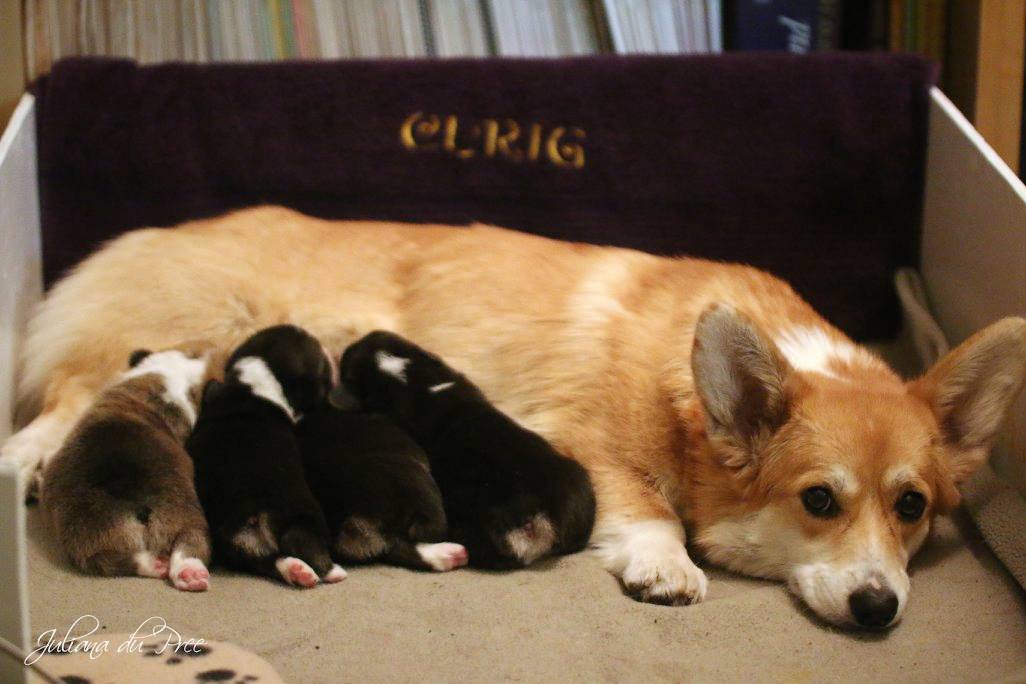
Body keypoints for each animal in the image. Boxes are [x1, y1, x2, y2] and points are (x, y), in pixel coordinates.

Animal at [41, 344, 213, 590]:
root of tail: (140, 506)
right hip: (186, 517)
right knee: (188, 544)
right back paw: (185, 572)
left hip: (86, 536)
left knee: (112, 560)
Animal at [184, 326, 344, 590]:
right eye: (322, 364)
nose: (330, 353)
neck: (253, 381)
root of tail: (250, 514)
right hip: (305, 518)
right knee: (304, 547)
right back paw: (332, 572)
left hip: (241, 548)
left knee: (271, 561)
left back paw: (297, 571)